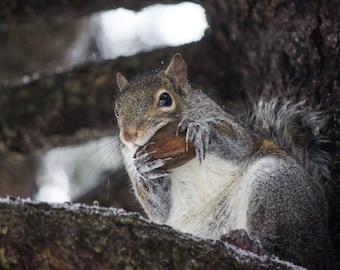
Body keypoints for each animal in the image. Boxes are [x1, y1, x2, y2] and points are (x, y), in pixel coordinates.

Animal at [115, 53, 334, 270]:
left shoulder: (236, 131)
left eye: (165, 99)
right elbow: (159, 209)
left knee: (287, 248)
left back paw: (253, 244)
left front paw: (201, 130)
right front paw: (145, 167)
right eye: (117, 111)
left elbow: (237, 144)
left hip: (275, 185)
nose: (129, 136)